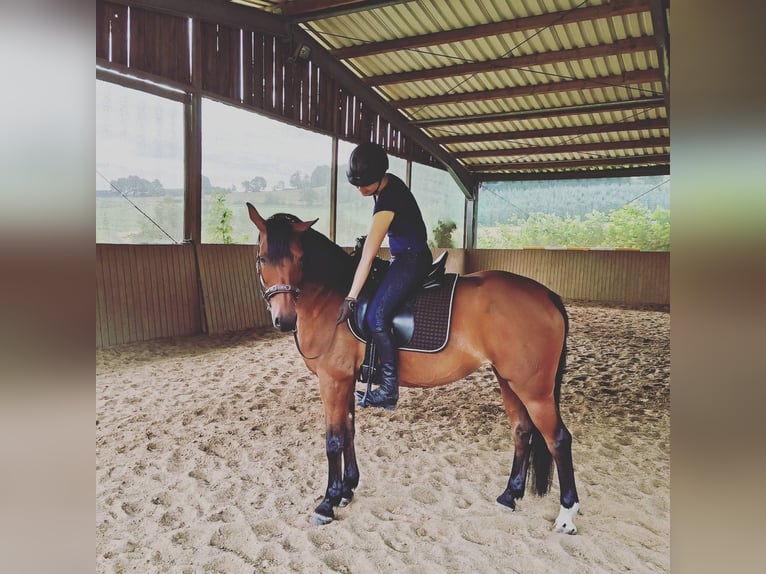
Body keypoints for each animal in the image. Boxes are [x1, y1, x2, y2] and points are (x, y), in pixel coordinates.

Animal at [246, 202, 580, 533]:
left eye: (300, 258)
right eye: (263, 258)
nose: (284, 319)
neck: (334, 296)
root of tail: (546, 294)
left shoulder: (333, 380)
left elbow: (333, 440)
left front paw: (328, 502)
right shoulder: (345, 381)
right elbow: (349, 431)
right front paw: (348, 488)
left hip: (534, 390)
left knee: (558, 439)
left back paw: (567, 514)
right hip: (509, 381)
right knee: (522, 430)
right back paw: (510, 494)